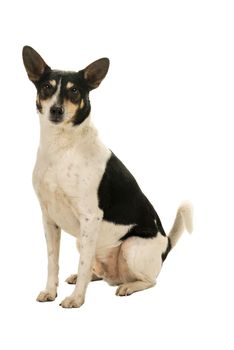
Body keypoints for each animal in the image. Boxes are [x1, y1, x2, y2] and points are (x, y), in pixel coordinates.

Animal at [22, 46, 193, 308]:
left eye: (74, 91)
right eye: (46, 87)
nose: (56, 110)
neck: (62, 148)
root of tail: (167, 245)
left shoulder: (89, 217)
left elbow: (83, 264)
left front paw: (76, 299)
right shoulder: (49, 219)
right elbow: (53, 262)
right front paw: (51, 291)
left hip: (131, 247)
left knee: (149, 281)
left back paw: (128, 286)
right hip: (83, 240)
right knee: (96, 271)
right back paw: (86, 277)